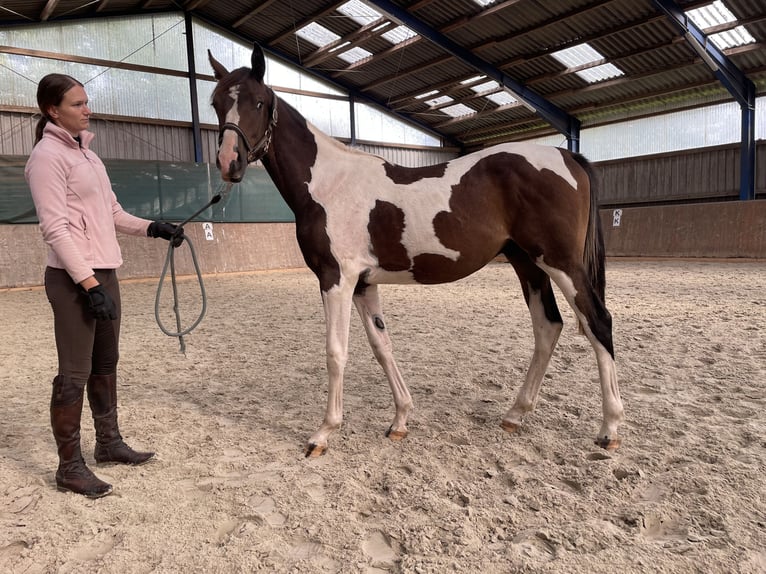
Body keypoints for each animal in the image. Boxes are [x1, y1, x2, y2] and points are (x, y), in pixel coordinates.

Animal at [208, 44, 624, 460]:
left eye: (259, 102)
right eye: (215, 102)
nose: (229, 163)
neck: (329, 183)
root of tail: (568, 157)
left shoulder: (336, 279)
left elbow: (335, 352)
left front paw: (323, 433)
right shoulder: (363, 284)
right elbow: (382, 346)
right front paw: (400, 420)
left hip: (561, 263)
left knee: (598, 322)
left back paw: (609, 428)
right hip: (528, 263)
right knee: (548, 326)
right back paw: (515, 414)